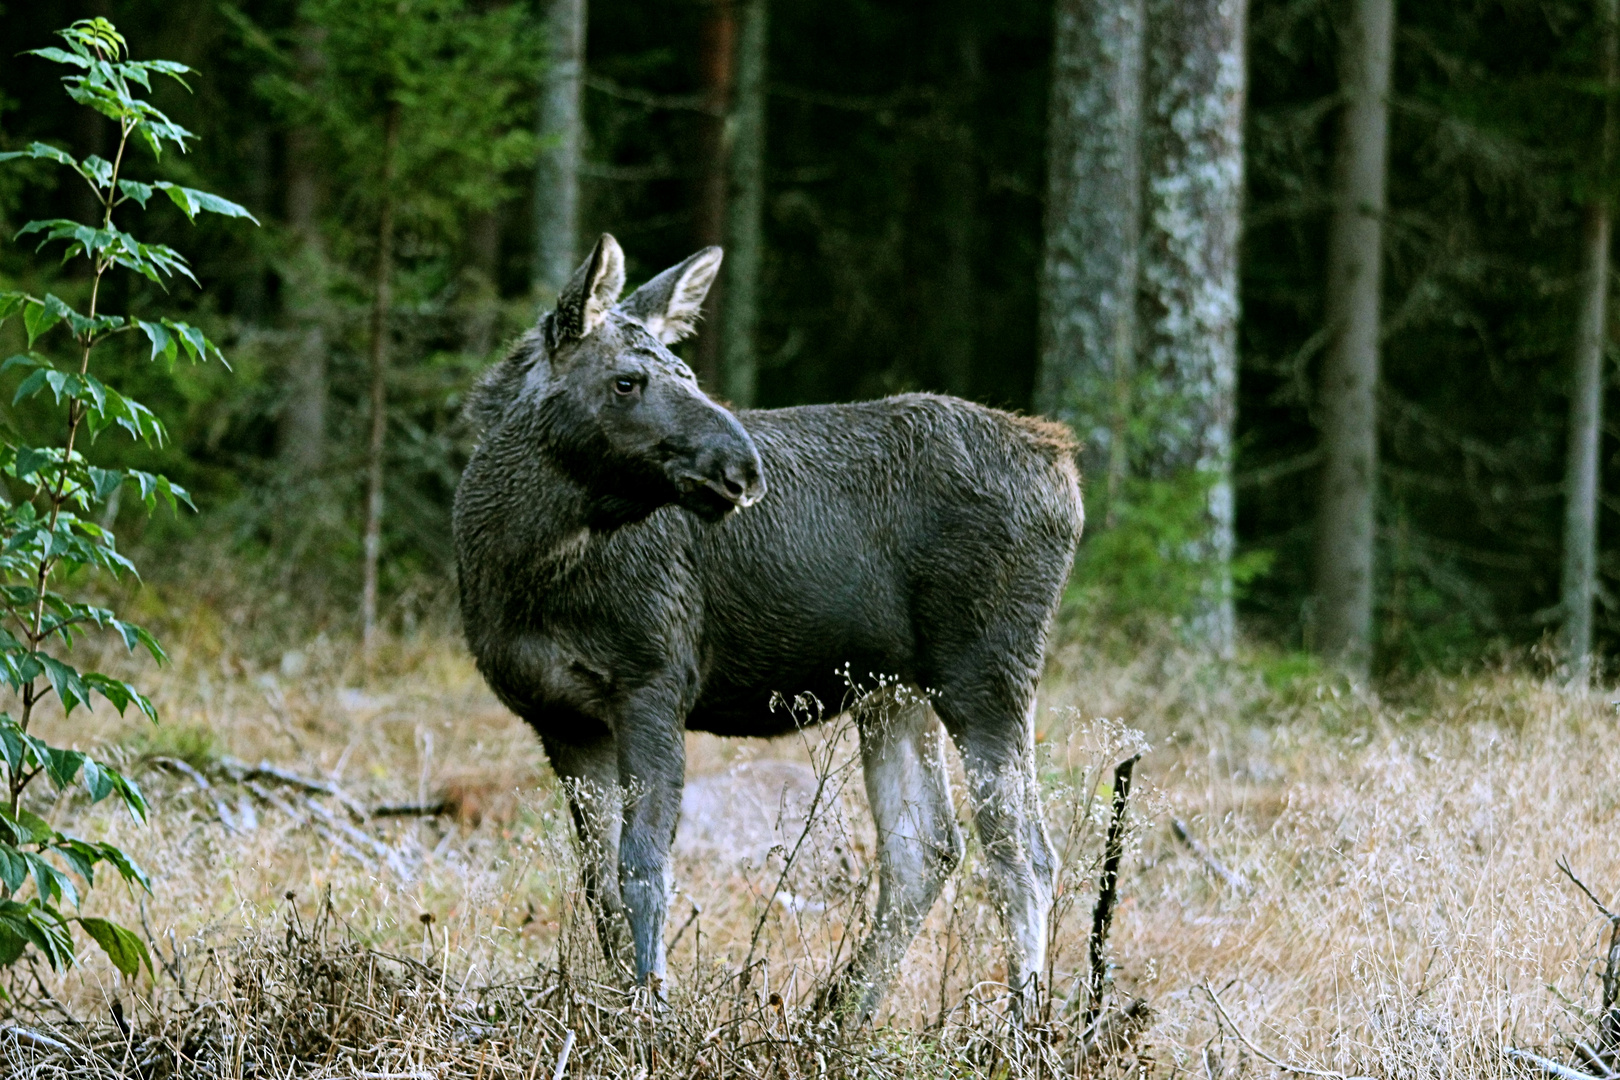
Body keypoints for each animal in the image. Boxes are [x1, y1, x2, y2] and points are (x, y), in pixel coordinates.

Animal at [456, 236, 1082, 1023]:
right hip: (896, 689)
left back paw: (1020, 1025)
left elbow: (643, 865)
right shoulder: (559, 717)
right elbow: (597, 883)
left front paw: (651, 1011)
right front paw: (616, 1001)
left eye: (687, 374)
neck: (525, 569)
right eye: (627, 380)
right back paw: (839, 1013)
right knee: (926, 847)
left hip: (987, 669)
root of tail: (1064, 468)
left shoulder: (655, 678)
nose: (742, 468)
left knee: (1023, 852)